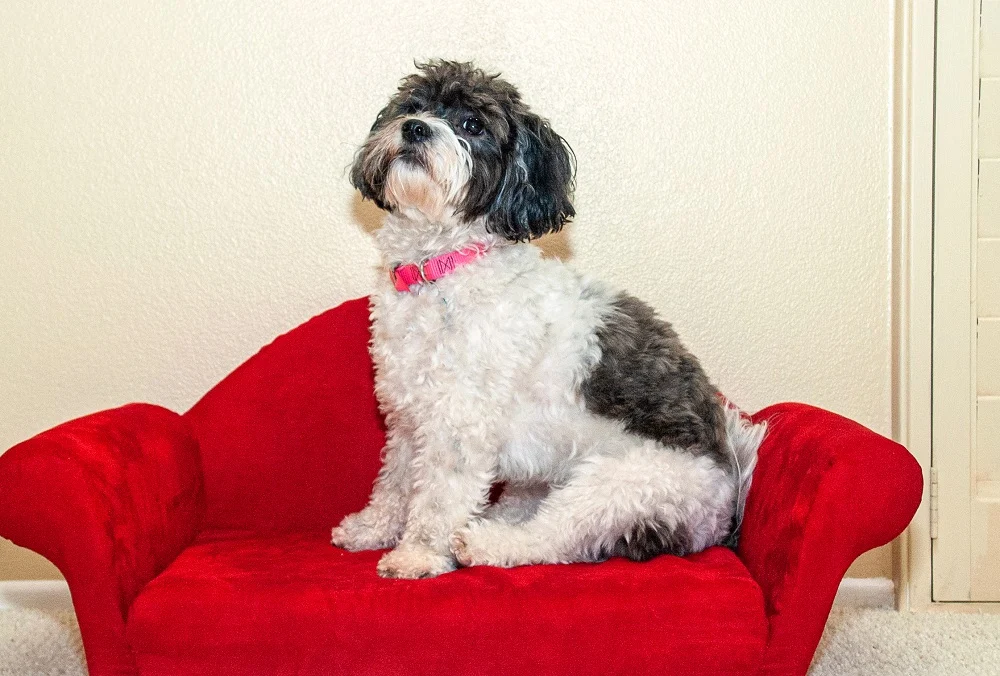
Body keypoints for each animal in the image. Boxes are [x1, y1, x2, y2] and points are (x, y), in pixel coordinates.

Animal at [330, 60, 764, 580]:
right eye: (412, 106)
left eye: (473, 125)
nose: (415, 128)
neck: (439, 269)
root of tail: (727, 506)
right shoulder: (408, 420)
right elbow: (394, 483)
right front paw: (372, 529)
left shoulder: (458, 425)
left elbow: (437, 498)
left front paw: (418, 553)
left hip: (619, 483)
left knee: (556, 536)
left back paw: (487, 541)